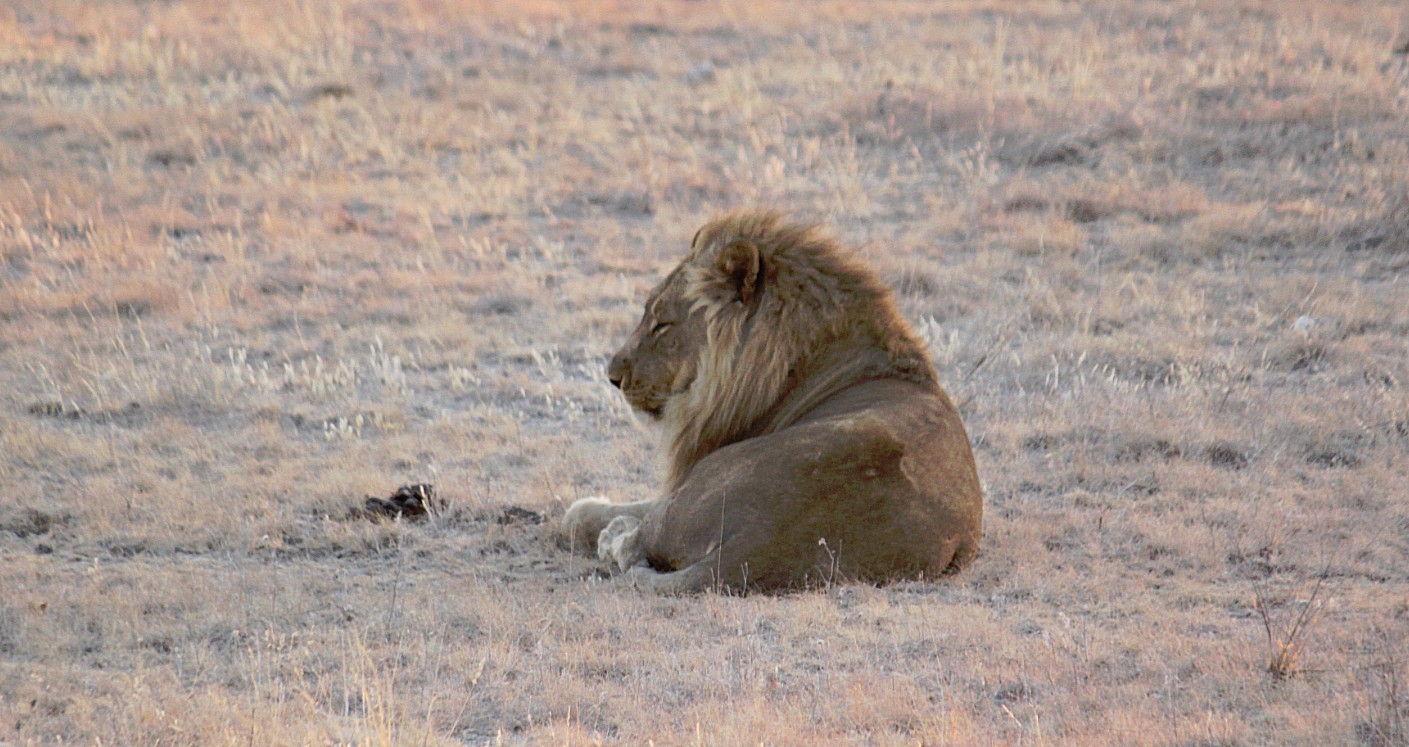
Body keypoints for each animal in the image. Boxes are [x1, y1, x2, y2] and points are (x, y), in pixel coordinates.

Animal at [560, 208, 980, 591]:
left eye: (662, 324)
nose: (613, 377)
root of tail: (761, 539)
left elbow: (604, 510)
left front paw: (587, 511)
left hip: (700, 481)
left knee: (641, 535)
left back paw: (613, 534)